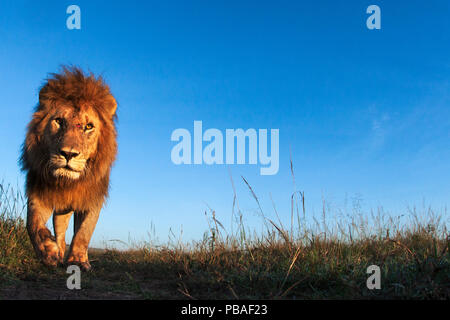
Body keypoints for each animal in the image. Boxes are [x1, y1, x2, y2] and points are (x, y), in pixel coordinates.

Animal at [19, 66, 118, 272]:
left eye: (88, 126)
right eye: (59, 121)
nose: (68, 154)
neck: (68, 182)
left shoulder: (92, 199)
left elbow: (84, 232)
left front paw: (78, 260)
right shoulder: (40, 190)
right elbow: (32, 223)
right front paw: (48, 251)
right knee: (60, 230)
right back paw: (58, 251)